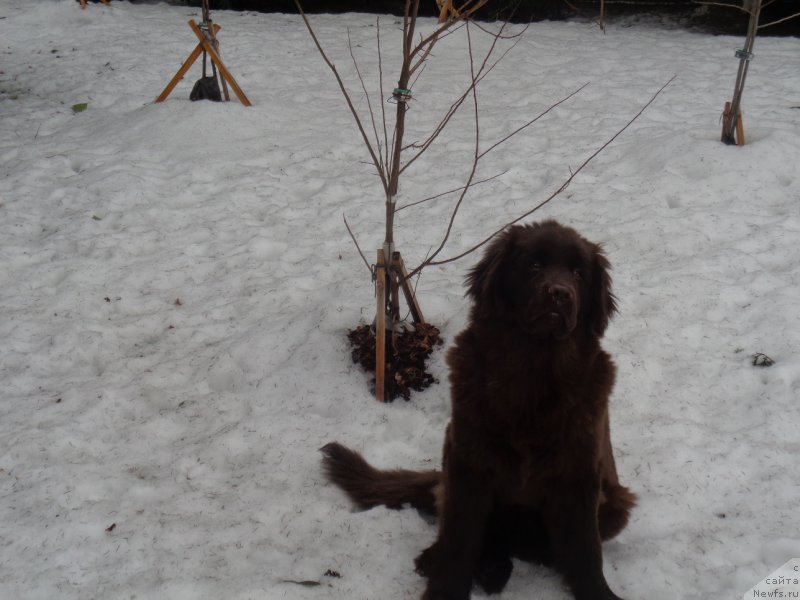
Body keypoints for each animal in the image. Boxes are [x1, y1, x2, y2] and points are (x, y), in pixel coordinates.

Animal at [322, 221, 636, 600]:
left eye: (578, 273)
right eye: (533, 265)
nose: (560, 294)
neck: (532, 371)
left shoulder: (579, 468)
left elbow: (585, 548)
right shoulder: (469, 460)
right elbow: (459, 538)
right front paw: (444, 590)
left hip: (617, 503)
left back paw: (494, 570)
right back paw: (451, 561)